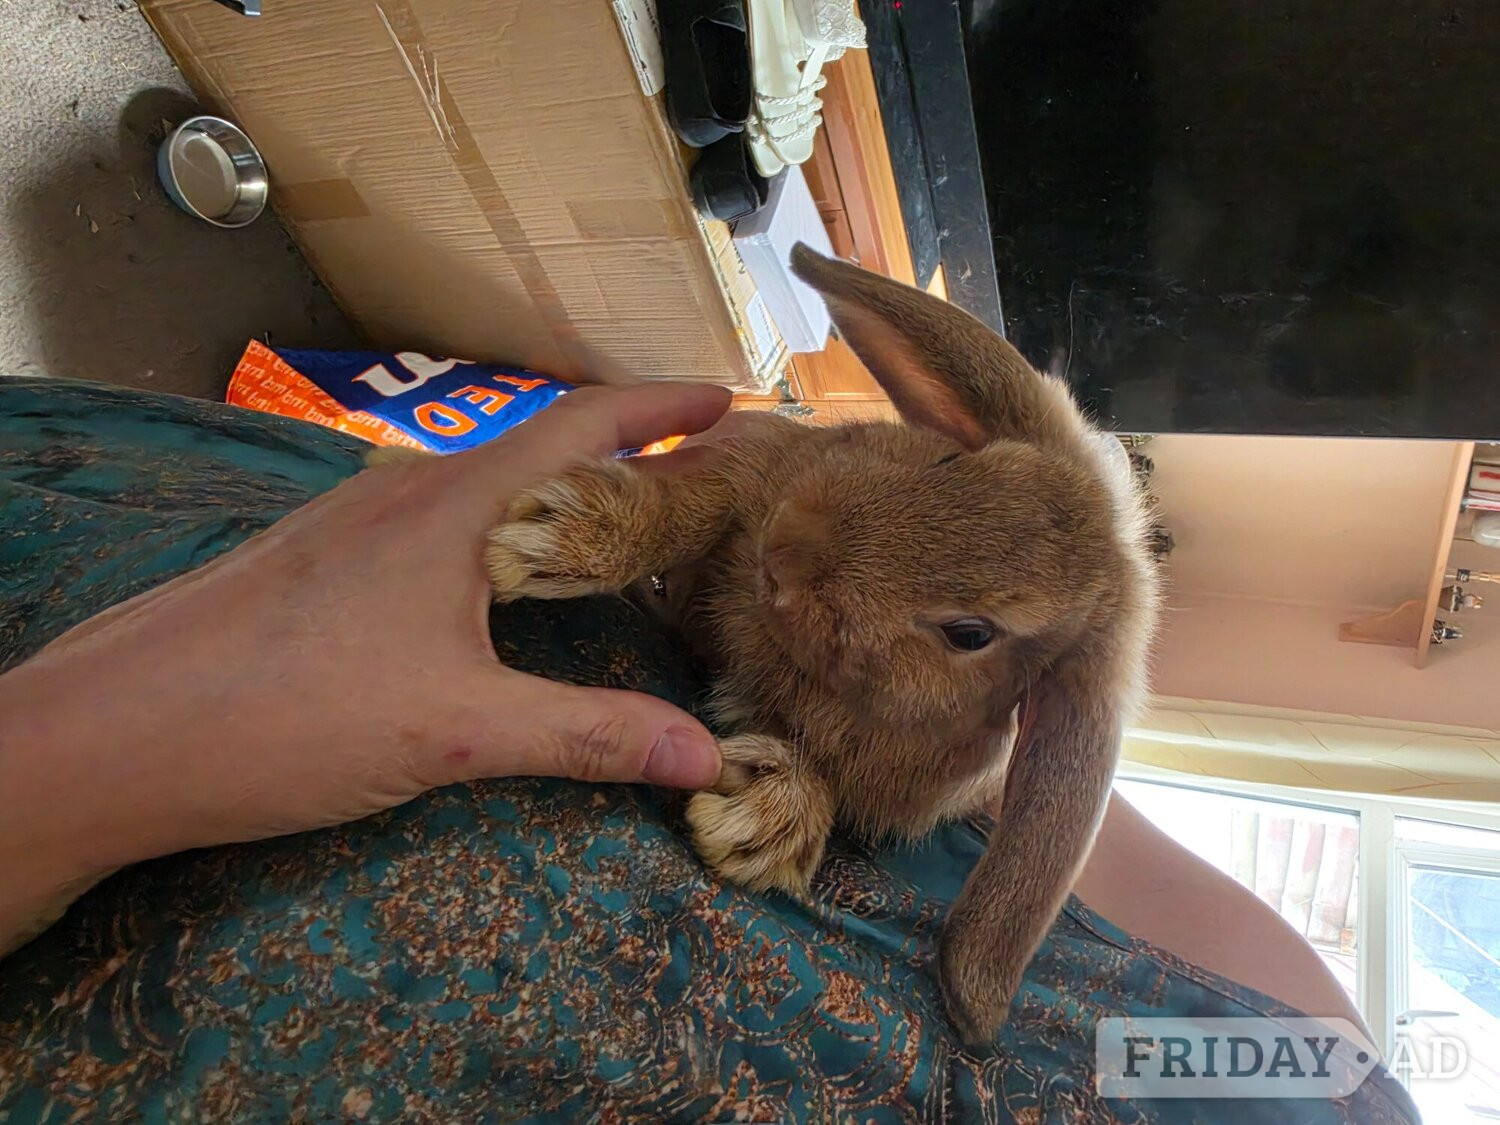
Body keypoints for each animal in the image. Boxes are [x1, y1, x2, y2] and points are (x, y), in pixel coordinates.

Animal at [482, 245, 1161, 1044]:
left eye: (970, 634)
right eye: (952, 463)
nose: (785, 549)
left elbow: (822, 786)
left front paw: (762, 818)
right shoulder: (751, 474)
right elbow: (683, 510)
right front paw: (558, 538)